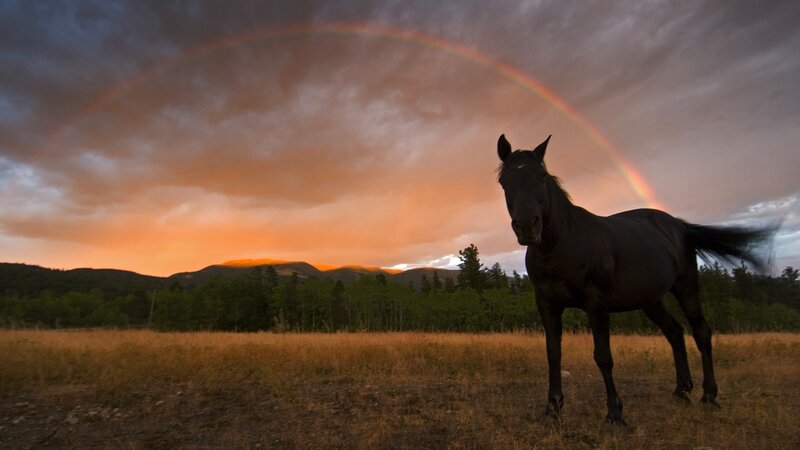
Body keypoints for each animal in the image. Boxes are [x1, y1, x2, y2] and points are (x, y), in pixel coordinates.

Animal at [496, 134, 776, 425]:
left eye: (541, 176)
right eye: (504, 181)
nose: (527, 227)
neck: (561, 245)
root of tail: (679, 225)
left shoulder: (596, 303)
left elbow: (603, 356)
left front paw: (615, 413)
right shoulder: (547, 303)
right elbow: (553, 354)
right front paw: (552, 408)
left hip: (686, 288)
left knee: (701, 332)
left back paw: (709, 395)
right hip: (651, 300)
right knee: (675, 332)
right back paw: (681, 391)